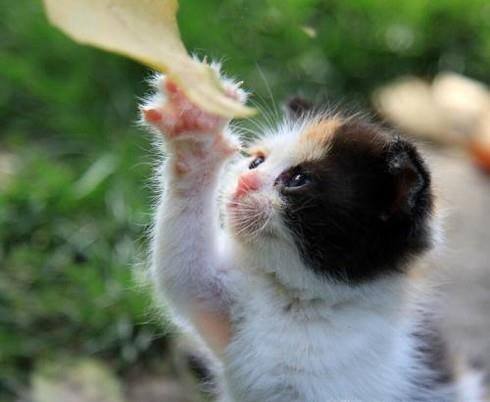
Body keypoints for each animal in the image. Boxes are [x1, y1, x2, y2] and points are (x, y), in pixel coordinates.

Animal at [140, 67, 484, 400]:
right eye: (257, 161)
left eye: (298, 180)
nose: (244, 182)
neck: (300, 302)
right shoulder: (224, 301)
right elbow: (184, 272)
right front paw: (195, 126)